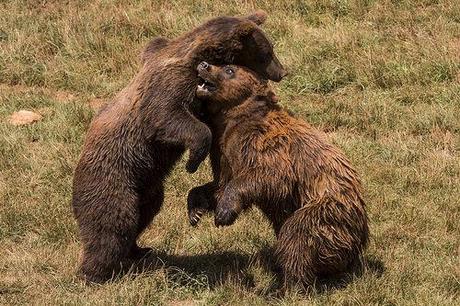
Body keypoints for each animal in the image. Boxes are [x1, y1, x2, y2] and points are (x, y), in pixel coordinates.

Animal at [71, 10, 288, 284]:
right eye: (267, 51)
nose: (282, 72)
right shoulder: (169, 86)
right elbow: (169, 117)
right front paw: (193, 161)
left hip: (147, 186)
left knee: (145, 212)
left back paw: (139, 250)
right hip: (112, 180)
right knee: (112, 224)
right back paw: (95, 273)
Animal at [187, 62, 370, 292]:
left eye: (229, 69)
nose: (204, 65)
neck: (231, 119)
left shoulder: (263, 143)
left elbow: (270, 177)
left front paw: (223, 214)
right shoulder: (225, 150)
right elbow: (219, 185)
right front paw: (196, 210)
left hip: (328, 210)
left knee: (297, 236)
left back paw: (287, 286)